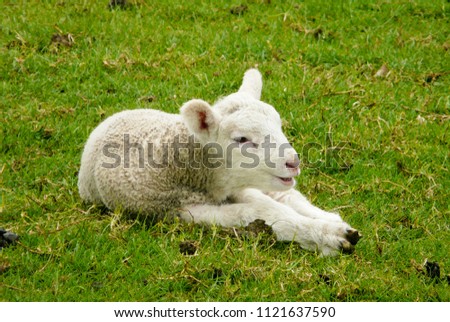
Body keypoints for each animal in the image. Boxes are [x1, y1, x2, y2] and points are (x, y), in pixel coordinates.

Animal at [78, 69, 362, 255]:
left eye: (279, 125)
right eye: (242, 139)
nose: (293, 162)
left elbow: (271, 206)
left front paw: (332, 229)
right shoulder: (185, 209)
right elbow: (260, 214)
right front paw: (328, 237)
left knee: (288, 197)